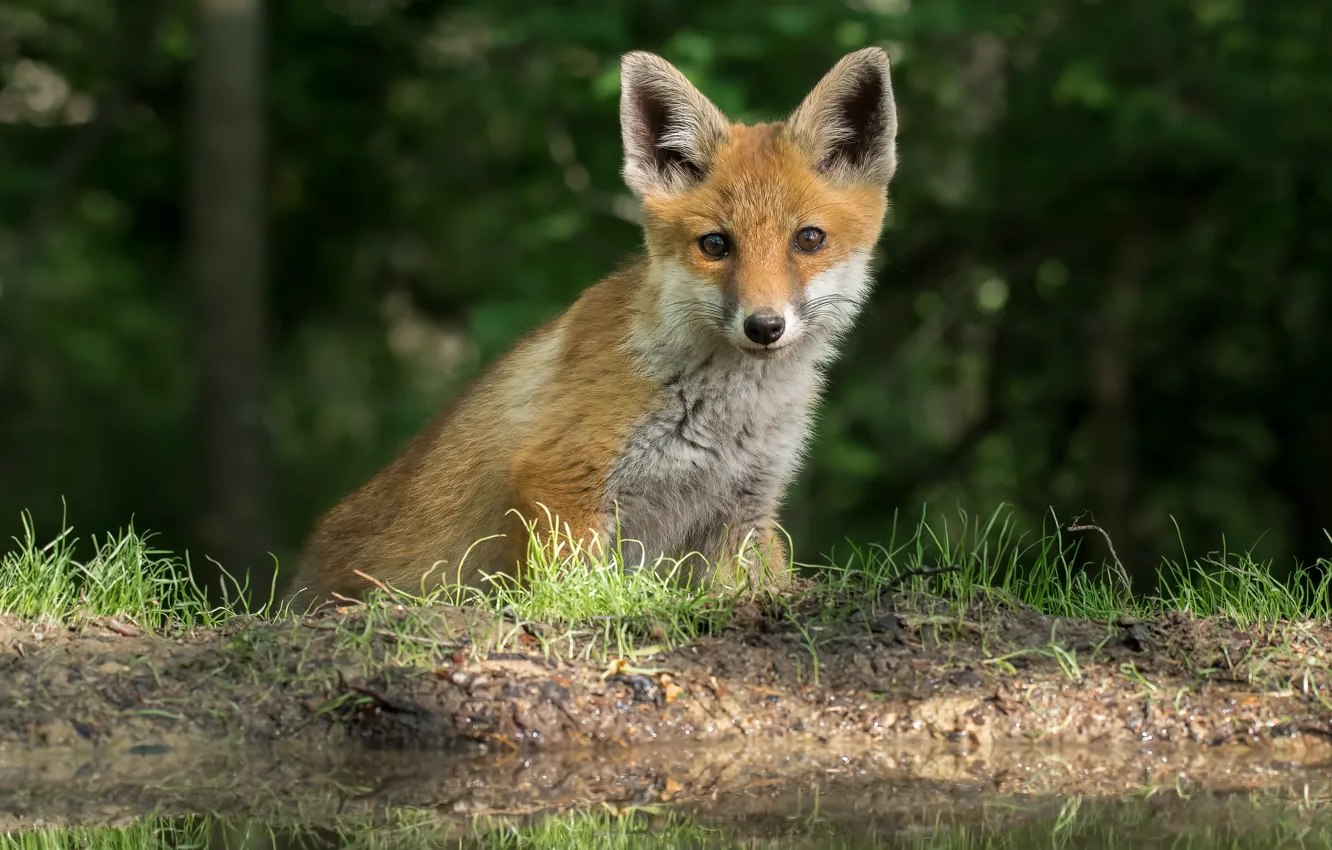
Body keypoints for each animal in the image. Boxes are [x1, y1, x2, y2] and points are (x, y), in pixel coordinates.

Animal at [283, 47, 899, 611]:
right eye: (715, 245)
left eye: (809, 239)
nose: (764, 326)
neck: (727, 415)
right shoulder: (562, 479)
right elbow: (581, 594)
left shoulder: (746, 510)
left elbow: (757, 585)